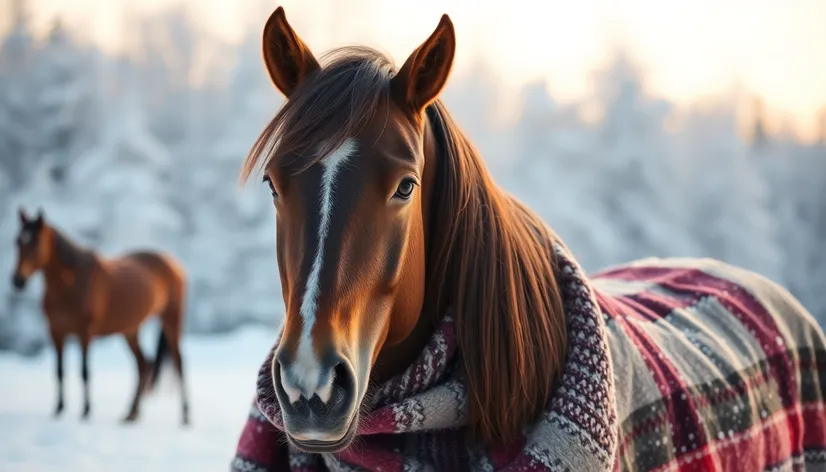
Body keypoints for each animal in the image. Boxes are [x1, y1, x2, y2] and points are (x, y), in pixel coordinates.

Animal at [11, 208, 189, 426]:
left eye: (35, 243)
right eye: (17, 241)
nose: (17, 280)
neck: (70, 286)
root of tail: (174, 264)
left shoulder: (85, 332)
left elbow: (84, 371)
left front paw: (86, 411)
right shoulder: (56, 332)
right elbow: (59, 371)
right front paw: (58, 409)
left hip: (171, 319)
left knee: (179, 362)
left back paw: (185, 415)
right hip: (130, 329)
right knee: (143, 364)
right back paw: (132, 413)